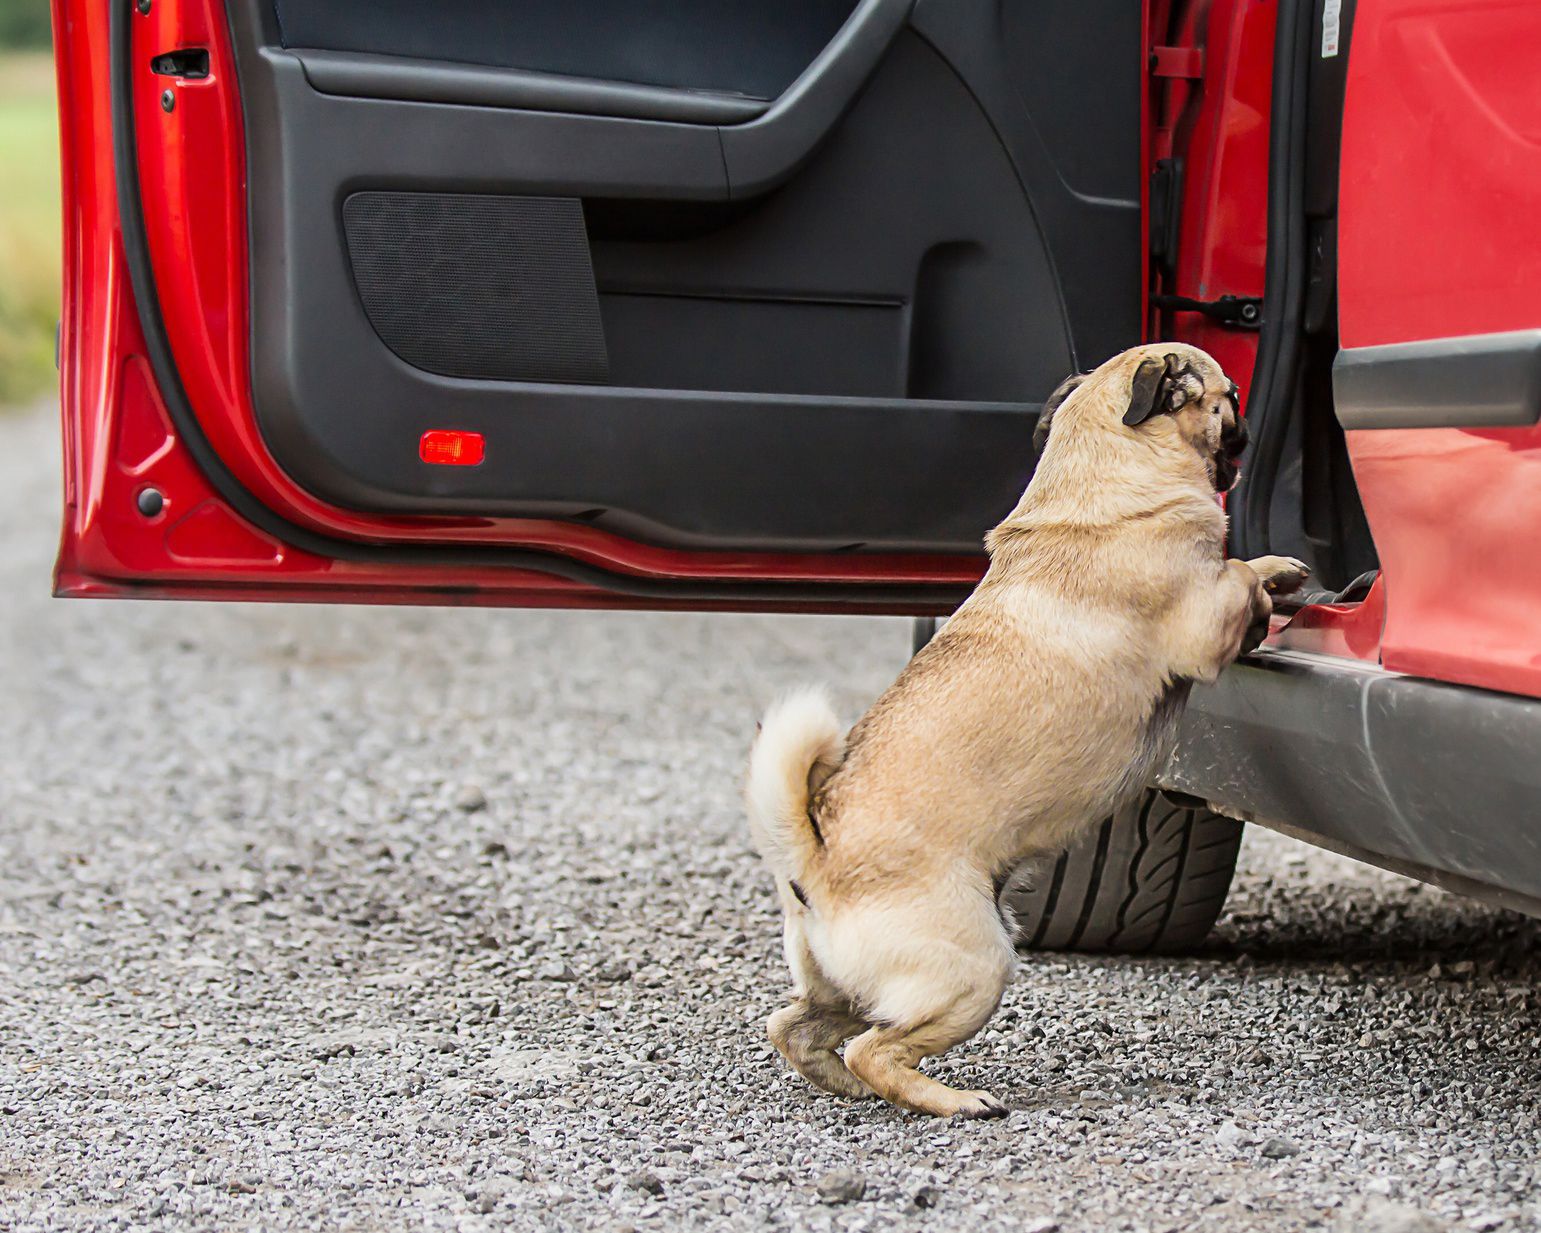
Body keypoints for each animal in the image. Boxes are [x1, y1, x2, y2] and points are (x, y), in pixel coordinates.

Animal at [742, 339, 1300, 1115]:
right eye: (1232, 399)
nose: (1245, 430)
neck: (1102, 471)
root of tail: (816, 858)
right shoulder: (1205, 620)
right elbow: (1240, 571)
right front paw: (1274, 578)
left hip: (847, 987)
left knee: (795, 1027)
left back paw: (845, 1085)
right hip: (974, 969)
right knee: (876, 1049)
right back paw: (951, 1101)